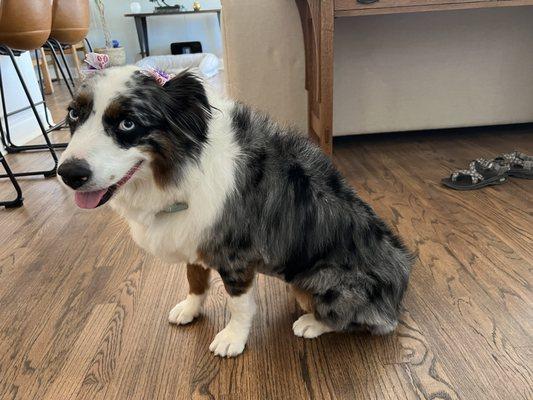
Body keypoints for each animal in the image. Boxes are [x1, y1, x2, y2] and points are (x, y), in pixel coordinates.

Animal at [58, 65, 414, 356]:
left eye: (127, 123)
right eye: (74, 114)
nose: (69, 173)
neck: (181, 165)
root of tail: (400, 289)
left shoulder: (237, 256)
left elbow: (239, 305)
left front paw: (232, 338)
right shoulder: (195, 235)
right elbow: (195, 279)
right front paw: (190, 309)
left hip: (321, 279)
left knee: (365, 322)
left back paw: (312, 323)